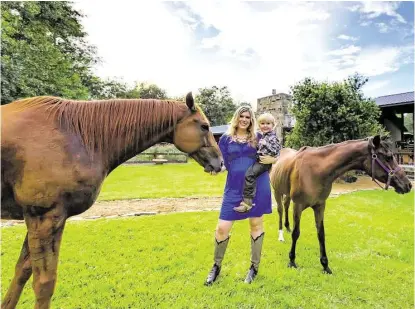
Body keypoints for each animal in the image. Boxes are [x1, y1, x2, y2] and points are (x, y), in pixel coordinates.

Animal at [1, 93, 224, 308]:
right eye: (204, 126)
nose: (220, 163)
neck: (76, 135)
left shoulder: (38, 219)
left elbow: (21, 272)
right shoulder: (44, 217)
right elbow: (44, 284)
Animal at [270, 135, 412, 272]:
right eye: (388, 157)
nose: (408, 185)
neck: (315, 170)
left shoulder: (320, 206)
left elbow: (321, 234)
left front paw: (325, 265)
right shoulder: (298, 205)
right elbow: (296, 233)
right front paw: (292, 261)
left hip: (288, 195)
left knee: (285, 206)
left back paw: (287, 227)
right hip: (277, 192)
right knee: (280, 210)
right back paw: (281, 235)